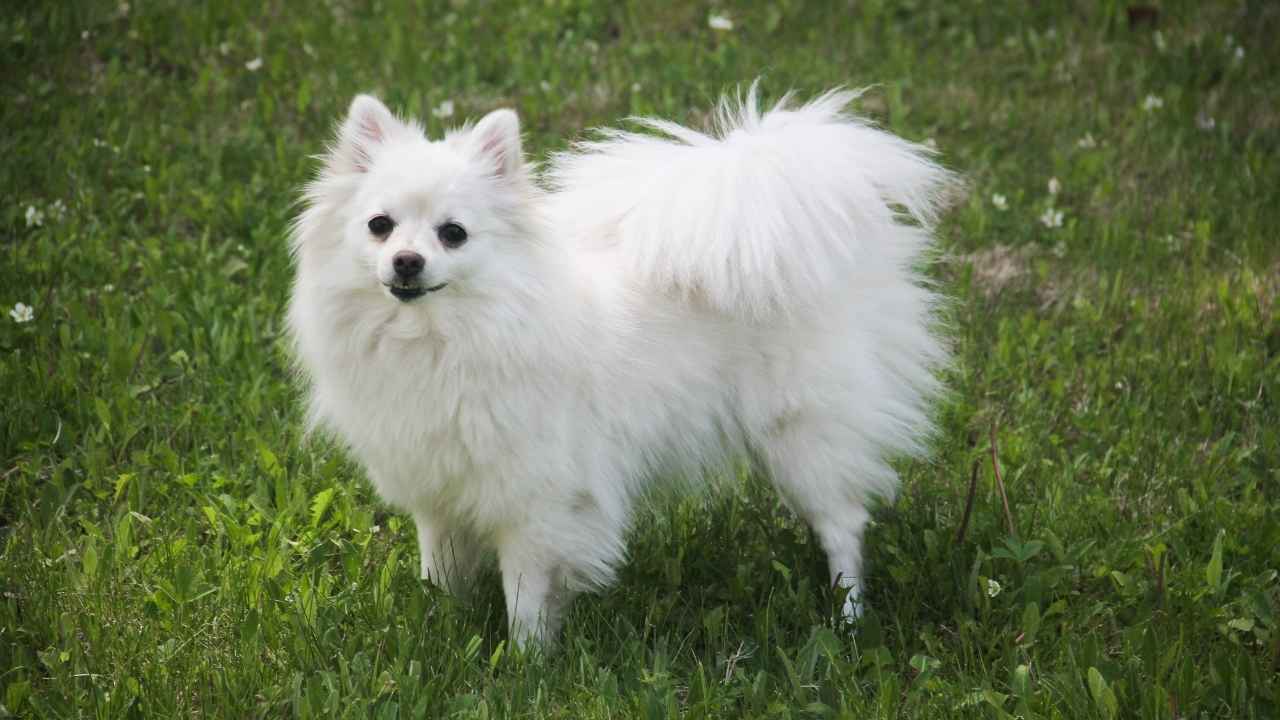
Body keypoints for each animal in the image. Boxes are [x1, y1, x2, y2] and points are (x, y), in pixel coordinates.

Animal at [288, 85, 952, 645]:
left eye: (453, 234)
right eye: (380, 226)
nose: (406, 261)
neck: (442, 338)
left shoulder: (538, 502)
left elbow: (526, 594)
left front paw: (526, 664)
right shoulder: (439, 489)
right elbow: (442, 570)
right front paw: (438, 627)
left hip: (802, 437)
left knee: (844, 526)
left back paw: (848, 619)